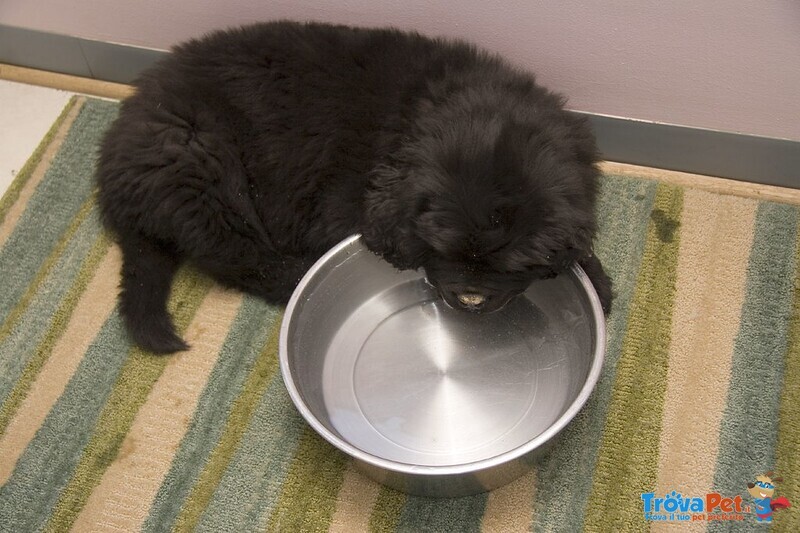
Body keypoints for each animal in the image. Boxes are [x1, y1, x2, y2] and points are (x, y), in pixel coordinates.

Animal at [98, 20, 612, 354]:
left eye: (508, 264)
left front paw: (598, 282)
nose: (469, 300)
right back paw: (296, 276)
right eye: (441, 251)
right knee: (240, 258)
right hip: (204, 168)